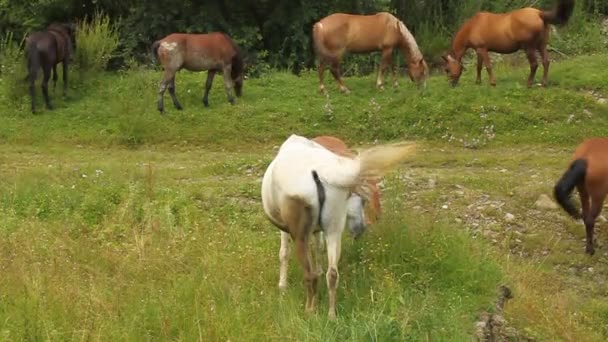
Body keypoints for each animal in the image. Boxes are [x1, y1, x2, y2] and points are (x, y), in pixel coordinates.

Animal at [258, 134, 416, 320]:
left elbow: (284, 254)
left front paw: (282, 286)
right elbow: (319, 249)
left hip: (300, 235)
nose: (361, 229)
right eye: (363, 199)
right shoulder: (319, 230)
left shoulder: (288, 230)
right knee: (332, 274)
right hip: (333, 230)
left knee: (309, 275)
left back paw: (310, 310)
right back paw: (331, 315)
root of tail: (321, 173)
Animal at [442, 0, 576, 87]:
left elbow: (488, 66)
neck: (473, 26)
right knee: (546, 61)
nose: (451, 84)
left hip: (529, 48)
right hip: (541, 45)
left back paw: (529, 83)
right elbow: (479, 67)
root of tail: (539, 13)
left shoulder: (482, 49)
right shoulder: (479, 50)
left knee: (534, 64)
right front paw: (478, 82)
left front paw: (492, 82)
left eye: (447, 69)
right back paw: (544, 83)